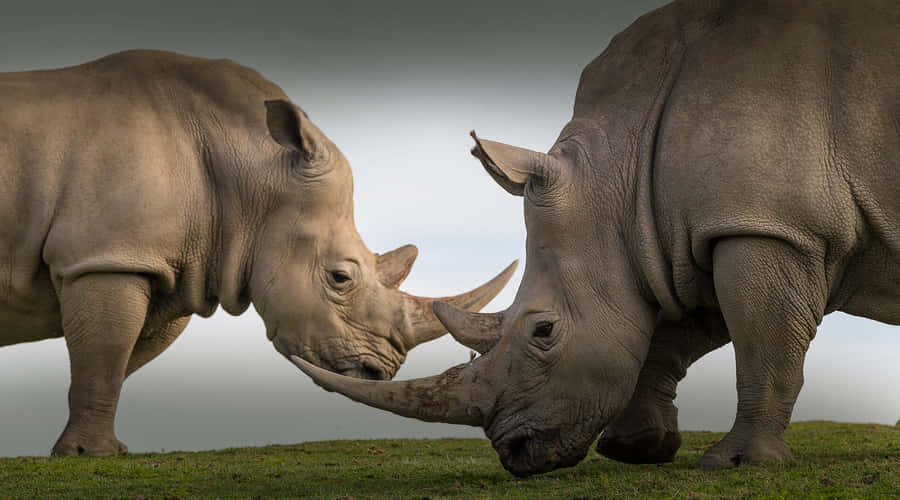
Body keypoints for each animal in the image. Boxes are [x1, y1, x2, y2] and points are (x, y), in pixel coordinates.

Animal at [0, 50, 516, 456]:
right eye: (340, 278)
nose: (378, 372)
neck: (250, 174)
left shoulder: (160, 265)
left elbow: (116, 361)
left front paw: (85, 449)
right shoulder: (107, 258)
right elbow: (105, 357)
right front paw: (92, 455)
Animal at [291, 0, 900, 476]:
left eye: (543, 331)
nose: (515, 454)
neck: (620, 173)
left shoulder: (768, 226)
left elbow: (762, 342)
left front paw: (737, 462)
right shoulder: (686, 238)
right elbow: (672, 332)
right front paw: (636, 448)